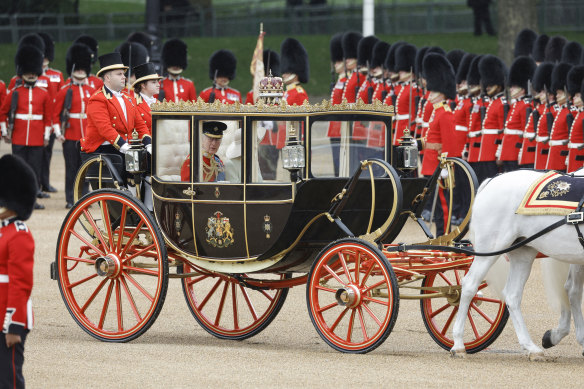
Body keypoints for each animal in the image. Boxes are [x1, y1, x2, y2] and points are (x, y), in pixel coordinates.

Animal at [454, 168, 584, 360]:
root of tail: (492, 180)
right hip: (490, 249)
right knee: (470, 285)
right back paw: (458, 345)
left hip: (523, 253)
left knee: (512, 295)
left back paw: (531, 347)